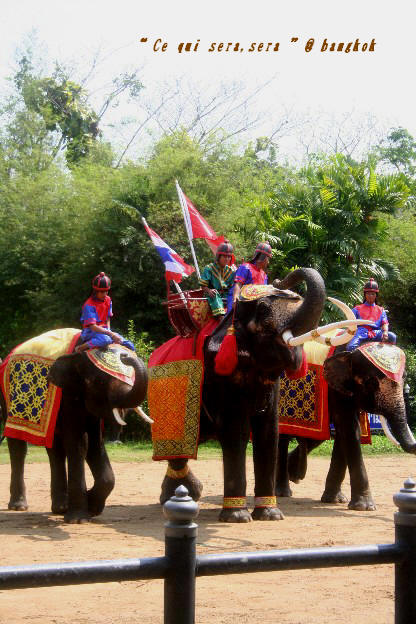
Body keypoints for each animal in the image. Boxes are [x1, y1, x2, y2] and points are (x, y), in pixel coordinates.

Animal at [0, 344, 148, 524]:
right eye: (99, 381)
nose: (126, 356)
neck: (80, 356)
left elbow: (94, 444)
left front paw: (92, 507)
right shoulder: (68, 394)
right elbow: (79, 444)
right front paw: (79, 518)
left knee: (55, 449)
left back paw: (60, 508)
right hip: (7, 399)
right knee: (18, 446)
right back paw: (19, 506)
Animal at [156, 266, 368, 520]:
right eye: (265, 310)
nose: (279, 280)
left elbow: (269, 430)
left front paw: (270, 515)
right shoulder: (220, 375)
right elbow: (236, 430)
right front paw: (237, 518)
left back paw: (189, 495)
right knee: (177, 450)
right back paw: (174, 499)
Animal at [274, 342, 414, 512]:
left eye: (404, 377)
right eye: (371, 382)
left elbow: (346, 431)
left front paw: (334, 500)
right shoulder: (336, 389)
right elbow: (349, 428)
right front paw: (364, 507)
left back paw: (293, 474)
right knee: (283, 436)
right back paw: (283, 492)